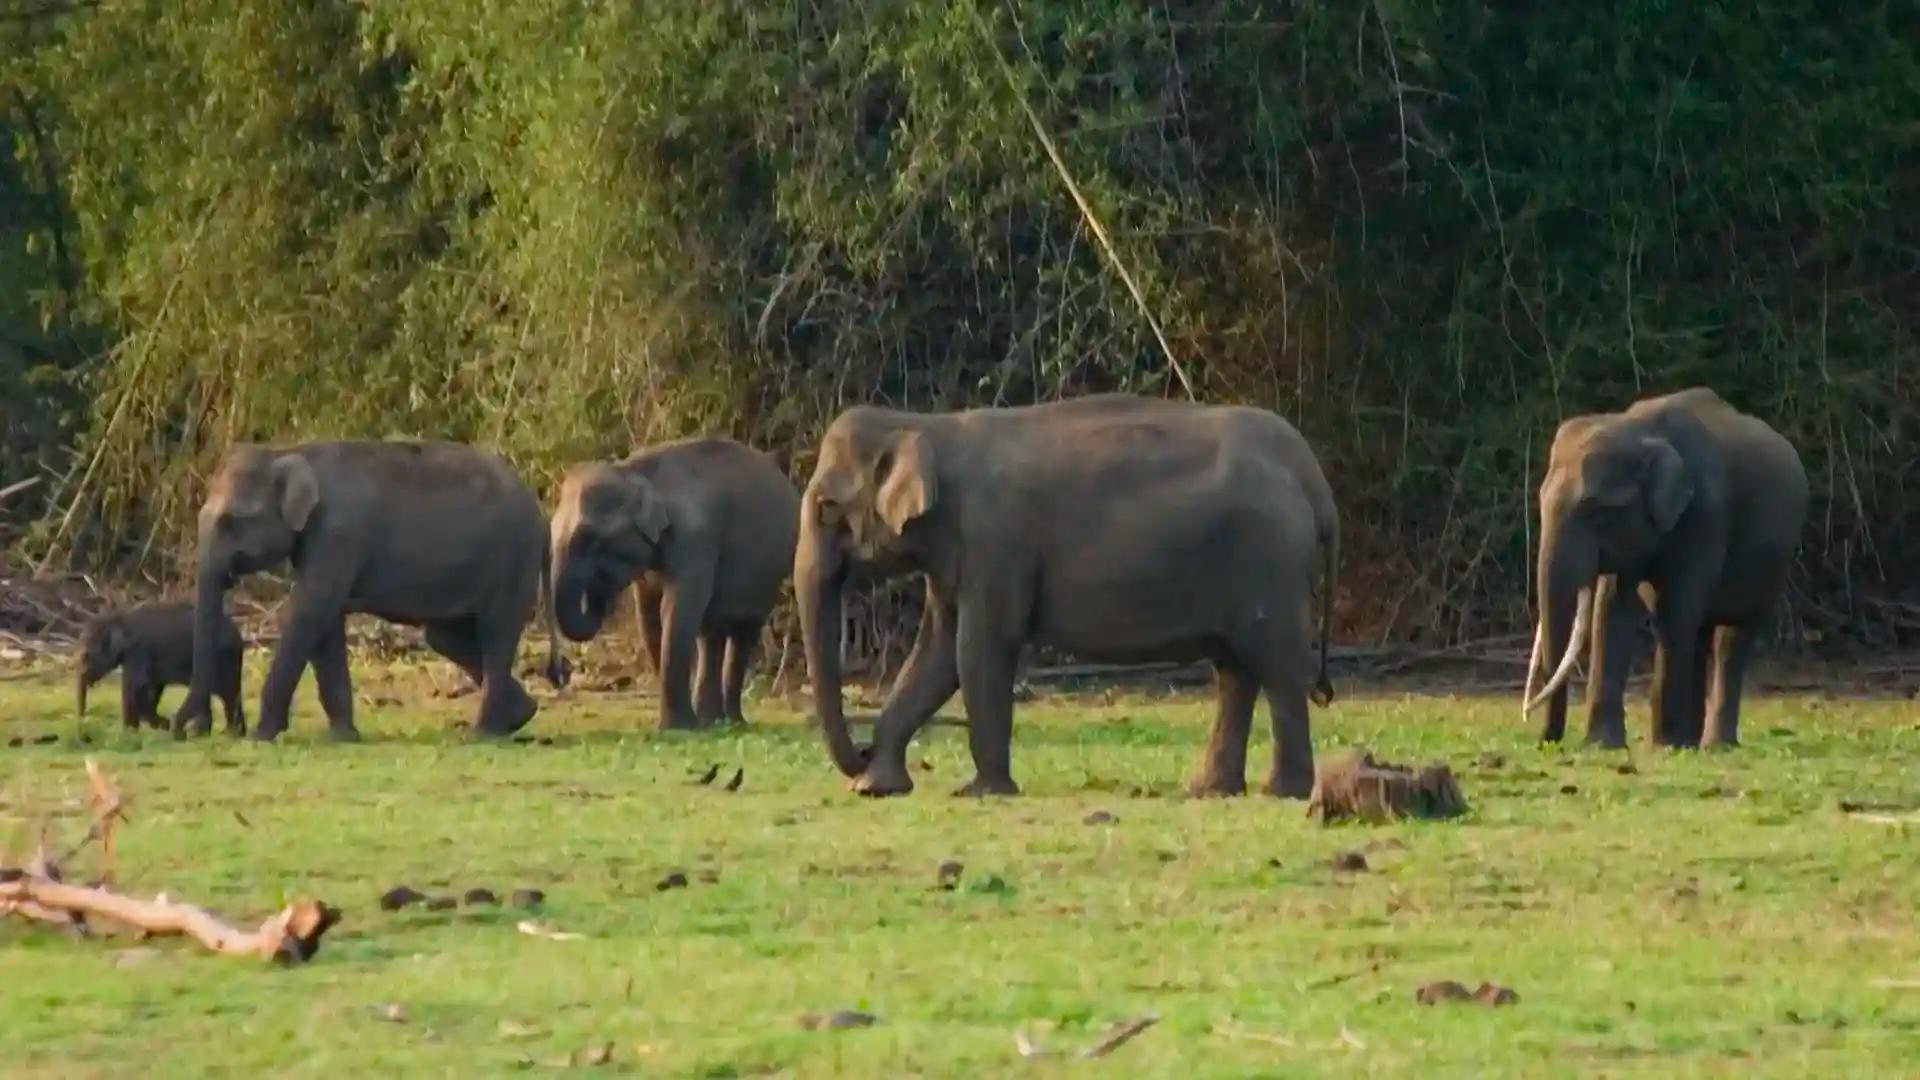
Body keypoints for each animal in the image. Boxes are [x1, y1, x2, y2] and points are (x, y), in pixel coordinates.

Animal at [78, 600, 244, 734]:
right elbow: (152, 689)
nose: (83, 724)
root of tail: (238, 635)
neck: (120, 615)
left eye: (86, 655)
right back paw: (229, 734)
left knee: (226, 694)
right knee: (231, 694)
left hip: (222, 659)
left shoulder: (139, 651)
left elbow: (135, 686)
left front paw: (131, 733)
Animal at [173, 440, 567, 741]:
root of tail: (542, 517)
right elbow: (326, 624)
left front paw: (263, 735)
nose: (191, 728)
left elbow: (309, 612)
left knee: (495, 632)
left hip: (512, 562)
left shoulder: (338, 535)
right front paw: (343, 737)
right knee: (447, 638)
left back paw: (484, 734)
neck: (289, 451)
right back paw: (519, 716)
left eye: (230, 522)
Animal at [548, 437, 800, 730]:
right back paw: (712, 721)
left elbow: (674, 609)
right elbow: (648, 615)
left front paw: (679, 727)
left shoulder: (697, 540)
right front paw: (678, 726)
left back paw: (732, 721)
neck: (633, 472)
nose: (599, 588)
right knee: (710, 633)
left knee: (743, 632)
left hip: (769, 574)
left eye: (588, 538)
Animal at [795, 392, 1337, 799]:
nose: (860, 752)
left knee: (1278, 666)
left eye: (826, 507)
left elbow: (980, 649)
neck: (926, 425)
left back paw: (1283, 791)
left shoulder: (997, 539)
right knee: (1235, 671)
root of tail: (1311, 472)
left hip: (1269, 562)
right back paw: (1211, 790)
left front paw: (983, 792)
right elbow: (936, 655)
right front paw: (876, 787)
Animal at [1522, 387, 1807, 748]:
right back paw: (1692, 742)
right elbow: (1612, 612)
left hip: (1775, 562)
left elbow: (1673, 612)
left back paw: (1712, 745)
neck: (1637, 429)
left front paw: (1662, 745)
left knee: (1731, 637)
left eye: (1597, 511)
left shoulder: (1704, 516)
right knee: (1699, 634)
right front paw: (1603, 745)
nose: (1546, 741)